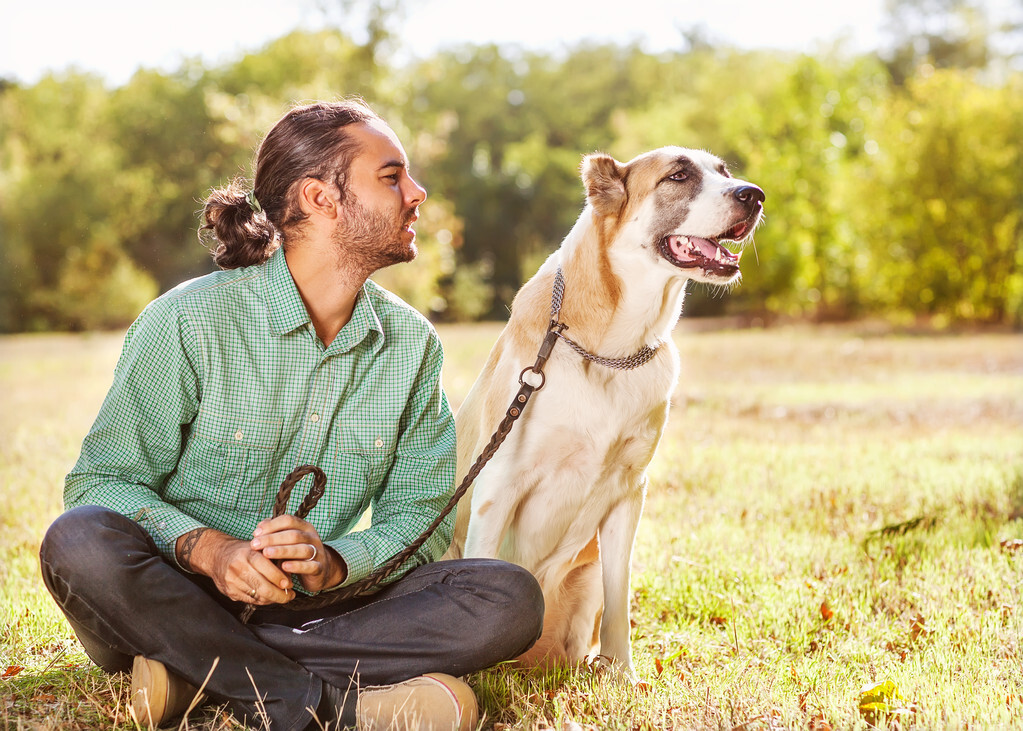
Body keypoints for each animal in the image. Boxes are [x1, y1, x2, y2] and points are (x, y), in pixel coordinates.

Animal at [443, 147, 765, 678]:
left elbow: (620, 596)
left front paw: (622, 674)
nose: (755, 195)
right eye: (678, 175)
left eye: (725, 172)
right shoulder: (498, 484)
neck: (610, 350)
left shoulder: (628, 492)